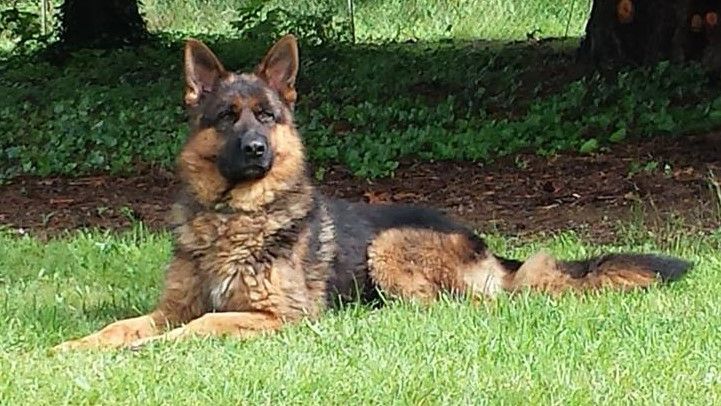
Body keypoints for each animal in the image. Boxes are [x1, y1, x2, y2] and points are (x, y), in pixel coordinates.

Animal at [53, 34, 692, 351]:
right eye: (227, 117)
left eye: (267, 116)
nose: (257, 149)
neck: (234, 217)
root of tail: (488, 248)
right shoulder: (170, 306)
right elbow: (121, 327)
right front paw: (74, 347)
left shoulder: (275, 316)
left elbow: (200, 327)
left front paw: (149, 352)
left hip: (388, 249)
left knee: (468, 307)